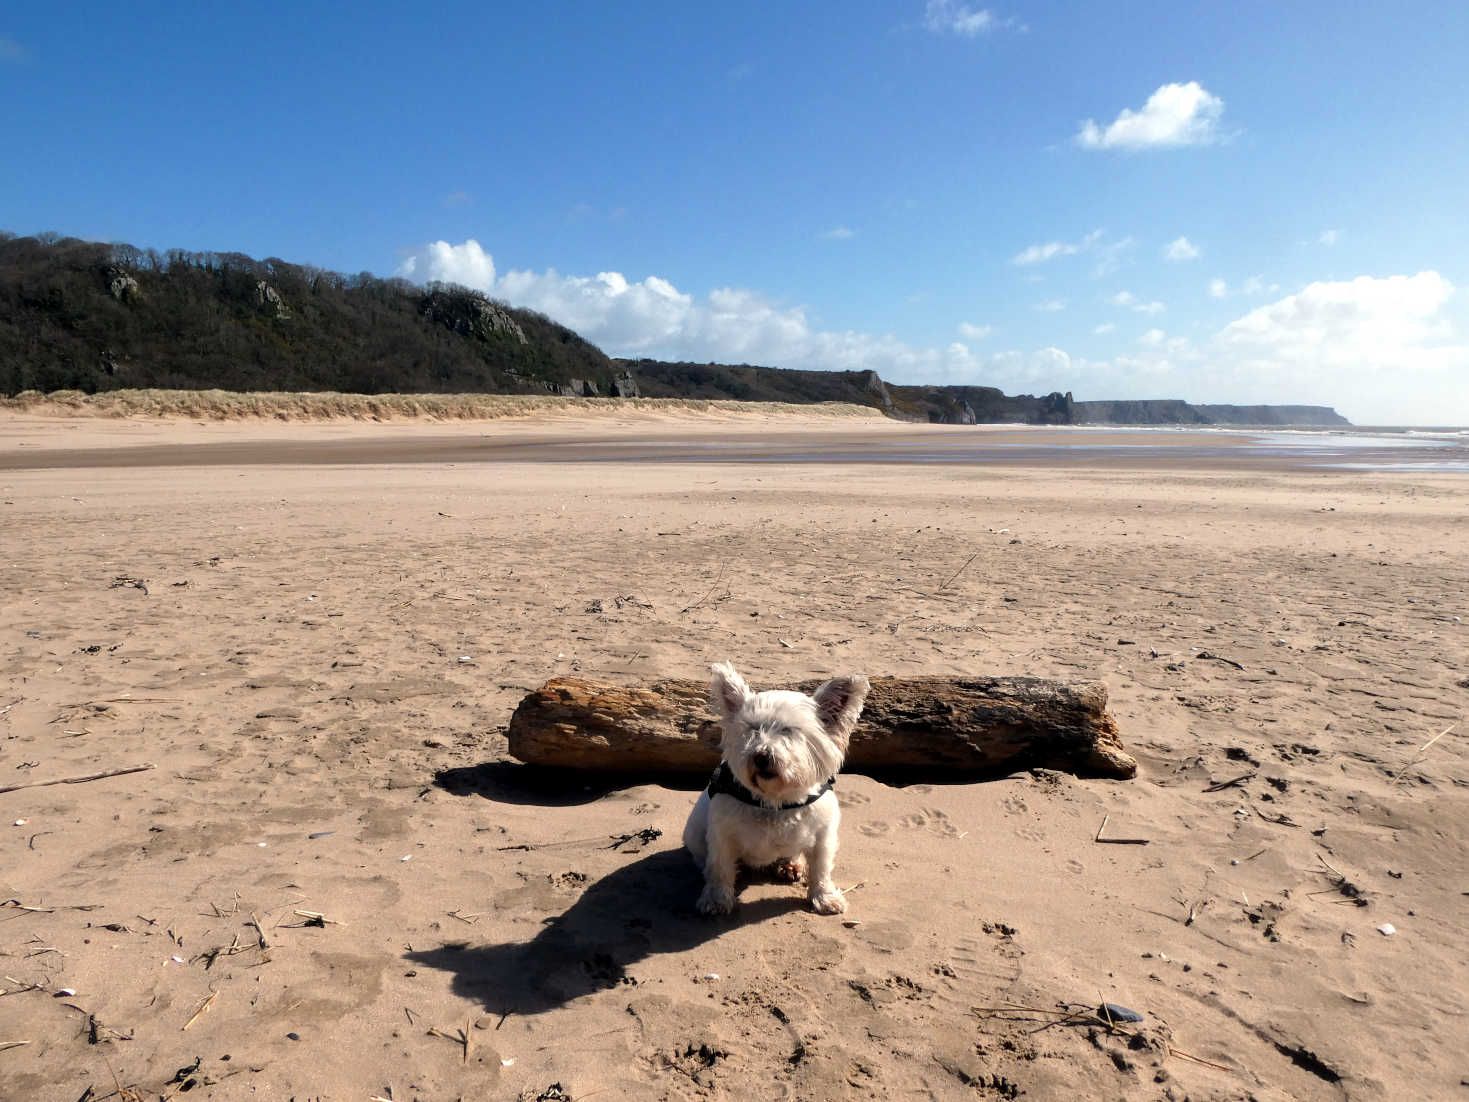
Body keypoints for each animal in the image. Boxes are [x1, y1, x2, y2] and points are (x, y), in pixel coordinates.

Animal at [681, 664, 863, 916]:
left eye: (788, 730)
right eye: (752, 728)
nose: (761, 757)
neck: (775, 801)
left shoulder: (823, 835)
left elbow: (821, 869)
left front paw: (825, 898)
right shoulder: (721, 835)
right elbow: (720, 868)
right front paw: (716, 899)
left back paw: (790, 864)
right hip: (695, 833)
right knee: (703, 858)